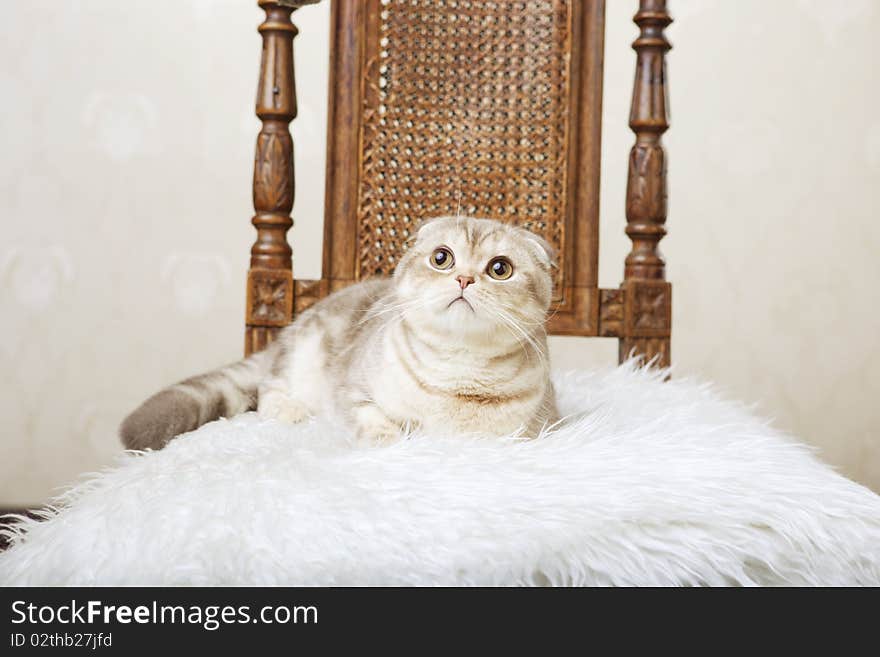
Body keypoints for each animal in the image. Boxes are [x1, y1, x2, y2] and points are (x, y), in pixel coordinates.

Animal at [118, 217, 556, 452]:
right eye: (441, 258)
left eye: (500, 269)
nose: (464, 279)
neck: (457, 372)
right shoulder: (353, 390)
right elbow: (371, 418)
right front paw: (386, 440)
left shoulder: (530, 428)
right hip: (302, 356)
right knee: (268, 387)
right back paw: (290, 409)